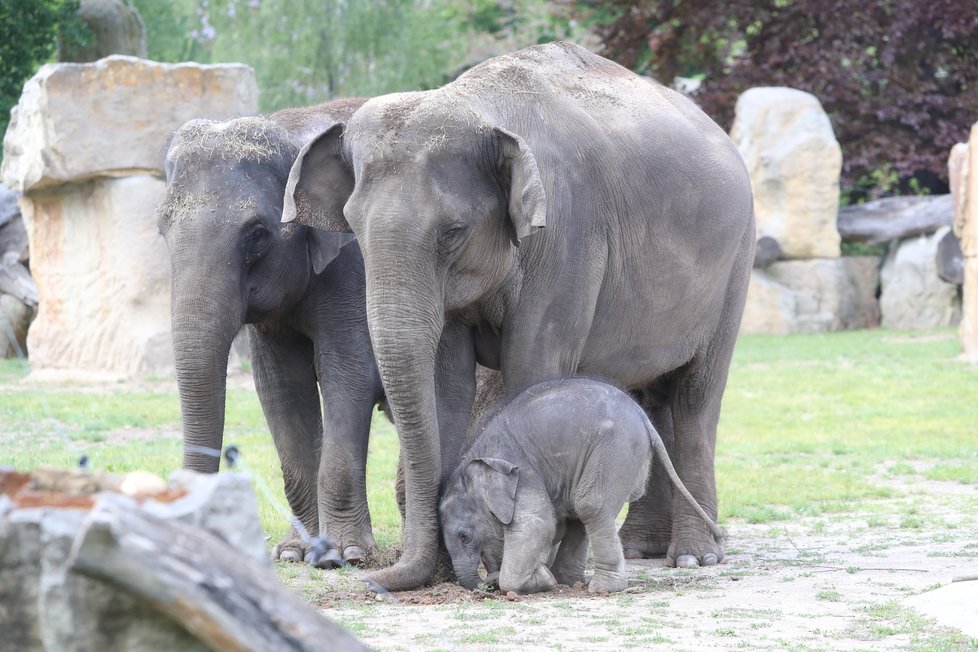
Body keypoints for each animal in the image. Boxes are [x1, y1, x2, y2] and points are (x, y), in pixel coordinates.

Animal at [156, 99, 386, 564]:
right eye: (161, 229)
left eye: (258, 234)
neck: (292, 129)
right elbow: (282, 387)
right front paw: (296, 554)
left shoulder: (353, 263)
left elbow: (349, 373)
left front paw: (346, 556)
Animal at [438, 376, 720, 596]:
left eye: (464, 536)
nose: (484, 585)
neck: (479, 458)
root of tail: (645, 420)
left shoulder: (524, 473)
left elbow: (540, 525)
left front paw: (542, 580)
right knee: (580, 510)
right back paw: (569, 581)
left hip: (616, 449)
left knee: (590, 505)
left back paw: (601, 588)